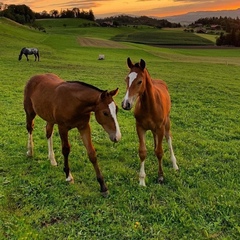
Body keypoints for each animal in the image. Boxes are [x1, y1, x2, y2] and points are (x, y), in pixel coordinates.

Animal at [122, 57, 178, 186]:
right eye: (126, 79)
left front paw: (161, 176)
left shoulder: (160, 128)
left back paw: (174, 164)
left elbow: (160, 152)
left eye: (140, 81)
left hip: (166, 123)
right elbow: (143, 152)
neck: (149, 106)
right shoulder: (140, 127)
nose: (126, 104)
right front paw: (142, 180)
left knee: (169, 139)